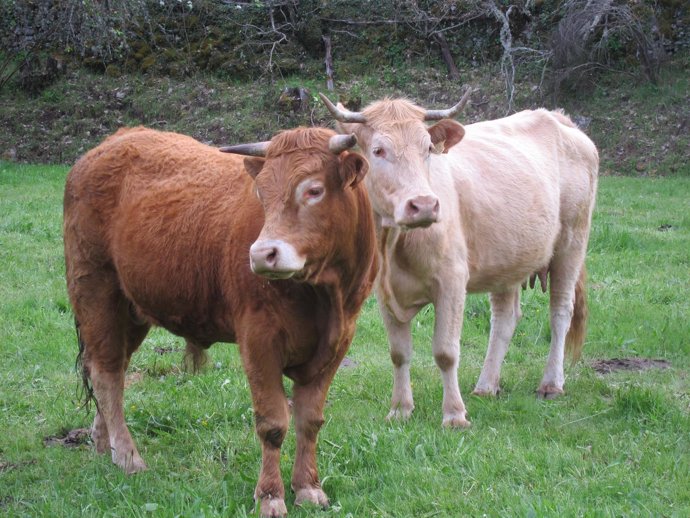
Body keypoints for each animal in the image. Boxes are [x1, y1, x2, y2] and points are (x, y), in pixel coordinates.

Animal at [63, 127, 376, 518]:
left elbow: (311, 420)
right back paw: (128, 456)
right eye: (261, 193)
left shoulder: (338, 343)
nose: (262, 254)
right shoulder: (258, 338)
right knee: (106, 374)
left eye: (314, 190)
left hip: (131, 309)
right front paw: (270, 495)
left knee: (109, 368)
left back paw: (104, 444)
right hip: (96, 290)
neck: (324, 296)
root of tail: (112, 142)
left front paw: (308, 487)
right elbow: (273, 422)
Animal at [322, 91, 596, 428]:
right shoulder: (384, 292)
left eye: (427, 148)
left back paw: (551, 384)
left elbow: (446, 352)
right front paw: (400, 409)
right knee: (505, 318)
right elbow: (398, 353)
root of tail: (556, 116)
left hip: (572, 242)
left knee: (560, 312)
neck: (395, 243)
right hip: (508, 258)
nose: (424, 204)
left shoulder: (451, 281)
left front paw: (454, 414)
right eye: (378, 150)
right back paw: (486, 385)